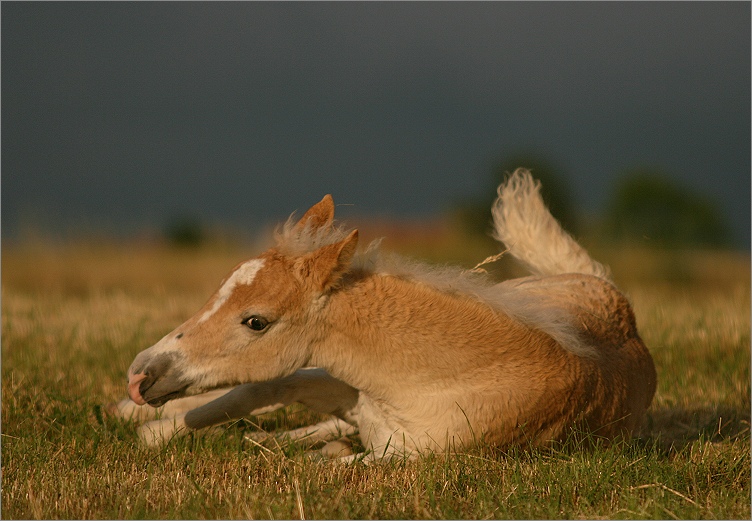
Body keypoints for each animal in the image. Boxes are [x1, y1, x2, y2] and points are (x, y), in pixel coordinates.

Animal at [114, 169, 656, 462]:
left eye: (256, 322)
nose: (141, 375)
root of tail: (618, 297)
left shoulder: (405, 460)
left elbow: (327, 461)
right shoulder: (348, 385)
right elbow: (260, 389)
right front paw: (151, 430)